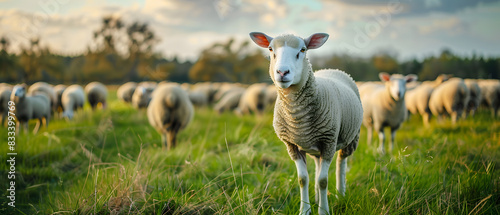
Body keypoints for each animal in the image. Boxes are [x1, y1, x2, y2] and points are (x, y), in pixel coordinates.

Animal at [250, 31, 364, 215]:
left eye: (302, 50)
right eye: (270, 49)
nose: (282, 72)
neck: (298, 120)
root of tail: (331, 69)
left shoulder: (328, 141)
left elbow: (323, 181)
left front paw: (323, 211)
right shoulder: (292, 145)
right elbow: (303, 179)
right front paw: (305, 210)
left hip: (350, 138)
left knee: (341, 163)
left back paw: (340, 195)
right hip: (316, 148)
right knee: (317, 168)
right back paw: (318, 198)